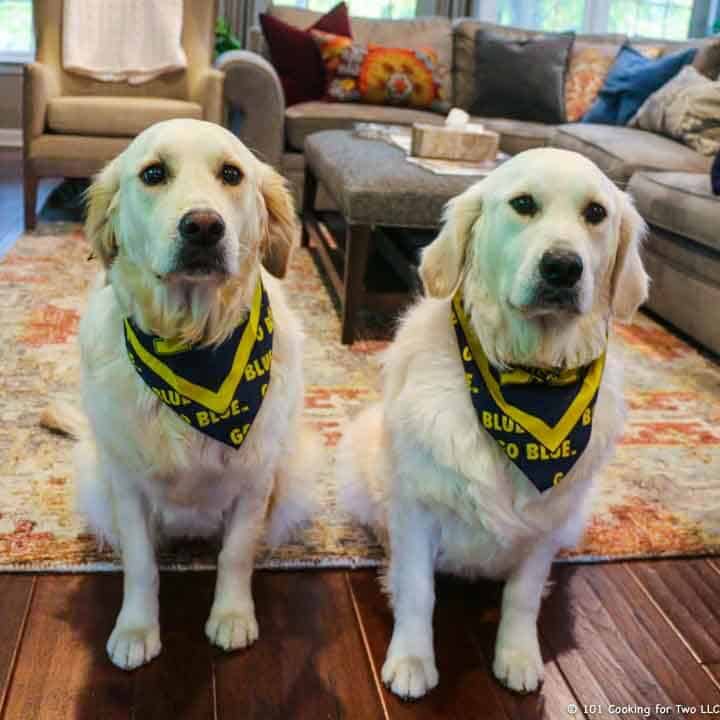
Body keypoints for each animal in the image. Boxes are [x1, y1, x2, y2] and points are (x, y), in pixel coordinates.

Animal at [50, 121, 318, 672]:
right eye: (154, 174)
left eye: (232, 174)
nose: (203, 227)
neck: (194, 345)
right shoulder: (126, 485)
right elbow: (140, 563)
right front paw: (136, 627)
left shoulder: (254, 479)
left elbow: (235, 553)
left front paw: (232, 616)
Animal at [336, 150, 648, 696]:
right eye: (523, 204)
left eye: (595, 213)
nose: (563, 267)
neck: (527, 378)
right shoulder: (418, 506)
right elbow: (417, 590)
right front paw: (412, 659)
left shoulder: (548, 522)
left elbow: (522, 595)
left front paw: (518, 655)